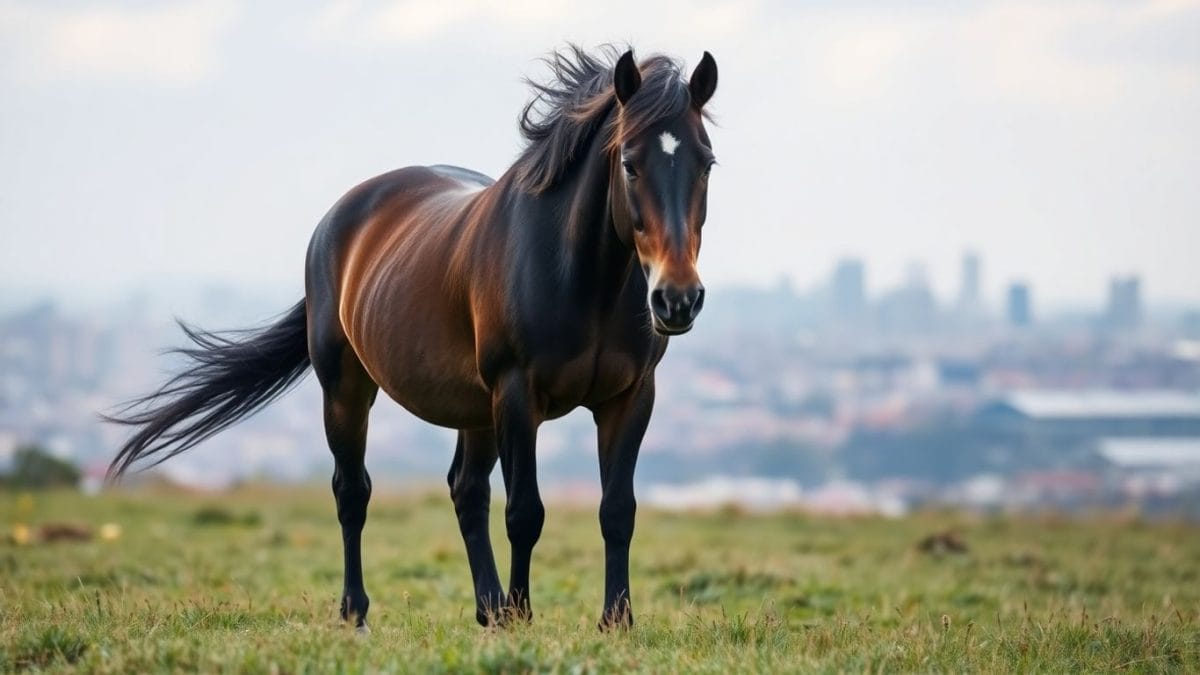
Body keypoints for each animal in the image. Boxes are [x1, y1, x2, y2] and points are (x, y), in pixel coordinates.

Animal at [106, 45, 719, 632]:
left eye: (707, 164)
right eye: (629, 164)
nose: (677, 299)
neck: (582, 277)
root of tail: (339, 217)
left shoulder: (630, 396)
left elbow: (617, 510)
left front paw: (615, 622)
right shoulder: (517, 394)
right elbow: (525, 512)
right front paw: (523, 616)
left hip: (474, 409)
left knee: (466, 491)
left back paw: (488, 610)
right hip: (348, 389)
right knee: (352, 492)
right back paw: (358, 613)